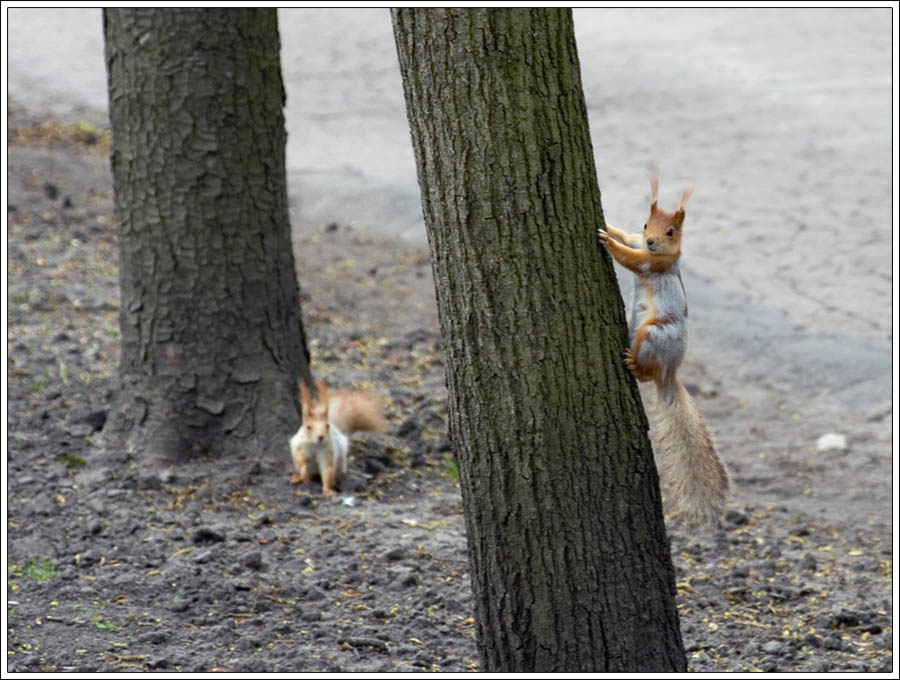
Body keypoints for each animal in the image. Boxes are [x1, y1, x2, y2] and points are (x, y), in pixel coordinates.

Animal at [597, 173, 730, 525]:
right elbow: (628, 237)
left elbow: (631, 258)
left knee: (646, 373)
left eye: (671, 231)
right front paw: (609, 226)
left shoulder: (653, 264)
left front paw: (607, 241)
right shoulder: (638, 241)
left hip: (652, 334)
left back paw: (634, 365)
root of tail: (671, 371)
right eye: (646, 224)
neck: (662, 254)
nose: (653, 242)